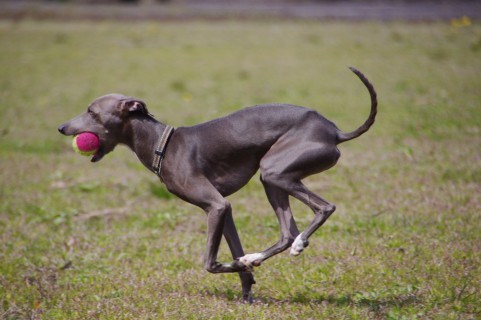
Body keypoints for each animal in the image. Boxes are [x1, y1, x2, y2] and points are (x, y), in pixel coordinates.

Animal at [59, 67, 376, 302]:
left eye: (92, 111)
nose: (62, 128)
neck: (163, 144)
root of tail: (334, 131)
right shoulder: (224, 210)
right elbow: (235, 251)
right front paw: (247, 287)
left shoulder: (216, 205)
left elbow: (210, 263)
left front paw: (241, 265)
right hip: (273, 179)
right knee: (287, 232)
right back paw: (262, 254)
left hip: (275, 171)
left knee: (324, 208)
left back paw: (296, 245)